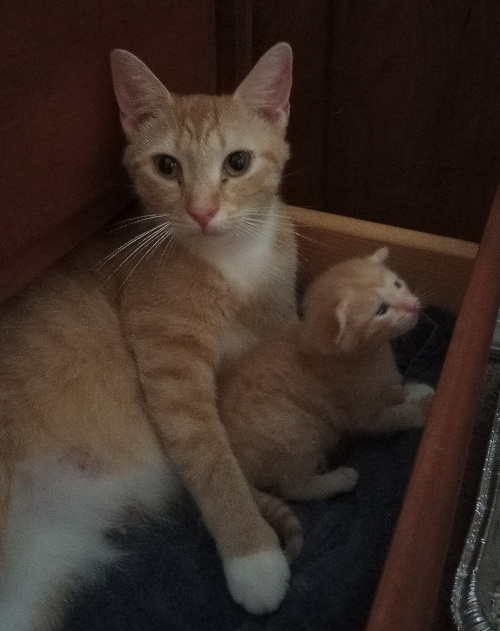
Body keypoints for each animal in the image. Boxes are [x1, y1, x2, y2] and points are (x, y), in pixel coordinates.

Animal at [0, 42, 298, 628]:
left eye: (237, 163)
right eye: (166, 166)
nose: (202, 211)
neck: (235, 263)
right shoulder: (172, 373)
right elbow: (214, 462)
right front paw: (253, 556)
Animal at [219, 249, 434, 506]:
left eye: (398, 284)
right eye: (382, 310)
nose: (413, 304)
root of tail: (236, 468)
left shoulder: (382, 384)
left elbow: (395, 391)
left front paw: (417, 390)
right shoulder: (363, 418)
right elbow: (396, 416)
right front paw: (423, 410)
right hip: (295, 432)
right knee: (295, 488)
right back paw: (339, 480)